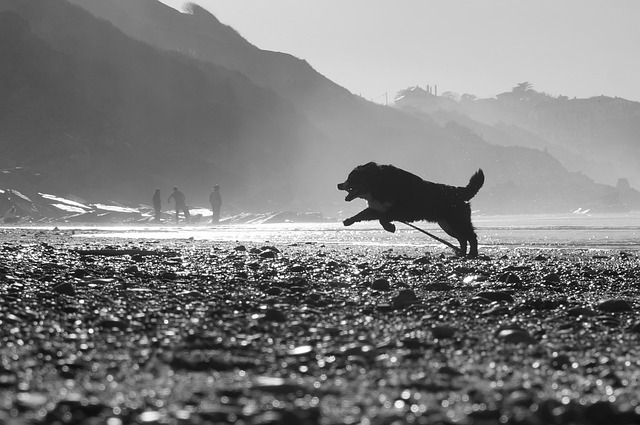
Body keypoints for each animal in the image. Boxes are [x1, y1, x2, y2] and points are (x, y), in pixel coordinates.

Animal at [338, 161, 482, 255]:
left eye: (351, 178)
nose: (338, 184)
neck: (378, 185)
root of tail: (458, 191)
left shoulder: (400, 210)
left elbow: (383, 219)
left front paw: (390, 227)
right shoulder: (378, 208)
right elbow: (363, 214)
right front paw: (348, 221)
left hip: (457, 221)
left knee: (471, 236)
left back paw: (472, 253)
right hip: (447, 225)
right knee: (462, 238)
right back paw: (461, 253)